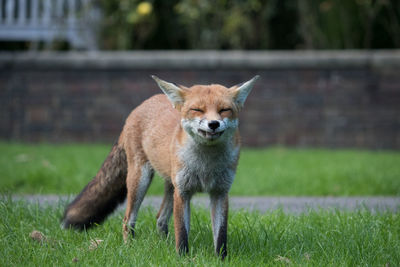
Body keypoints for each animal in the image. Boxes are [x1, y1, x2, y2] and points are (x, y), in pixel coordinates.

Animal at [61, 75, 258, 260]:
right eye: (198, 110)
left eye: (224, 110)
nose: (214, 124)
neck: (205, 166)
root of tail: (140, 106)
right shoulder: (183, 192)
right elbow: (182, 232)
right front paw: (182, 258)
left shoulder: (220, 192)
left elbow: (221, 235)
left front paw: (221, 259)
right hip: (140, 180)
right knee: (128, 219)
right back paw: (129, 248)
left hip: (170, 185)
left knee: (160, 219)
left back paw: (164, 244)